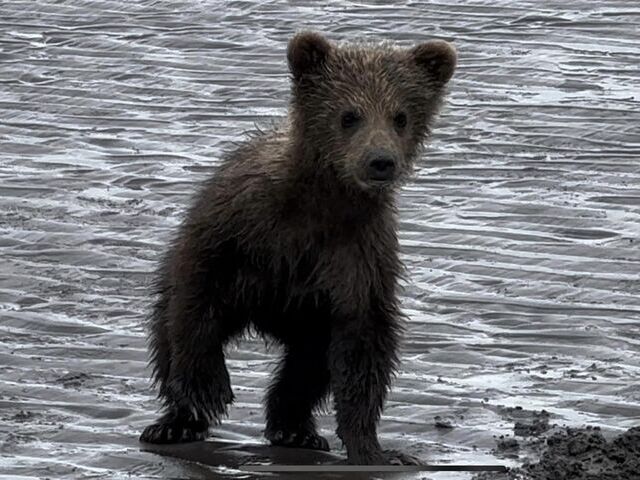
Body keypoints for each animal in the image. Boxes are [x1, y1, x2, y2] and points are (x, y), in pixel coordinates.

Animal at [139, 31, 456, 465]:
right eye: (349, 114)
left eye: (400, 116)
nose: (380, 161)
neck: (320, 204)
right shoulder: (237, 226)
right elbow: (196, 298)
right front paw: (207, 390)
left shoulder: (356, 258)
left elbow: (364, 344)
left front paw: (375, 448)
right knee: (167, 331)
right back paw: (174, 423)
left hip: (309, 319)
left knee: (307, 366)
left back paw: (295, 429)